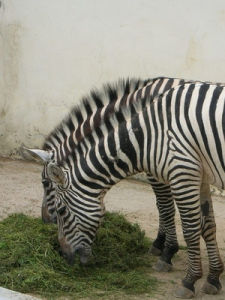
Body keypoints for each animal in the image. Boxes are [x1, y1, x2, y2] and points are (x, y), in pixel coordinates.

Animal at [27, 81, 225, 298]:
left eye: (62, 210)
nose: (64, 256)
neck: (146, 134)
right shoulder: (200, 177)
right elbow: (207, 225)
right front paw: (213, 277)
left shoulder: (181, 172)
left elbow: (181, 221)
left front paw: (186, 276)